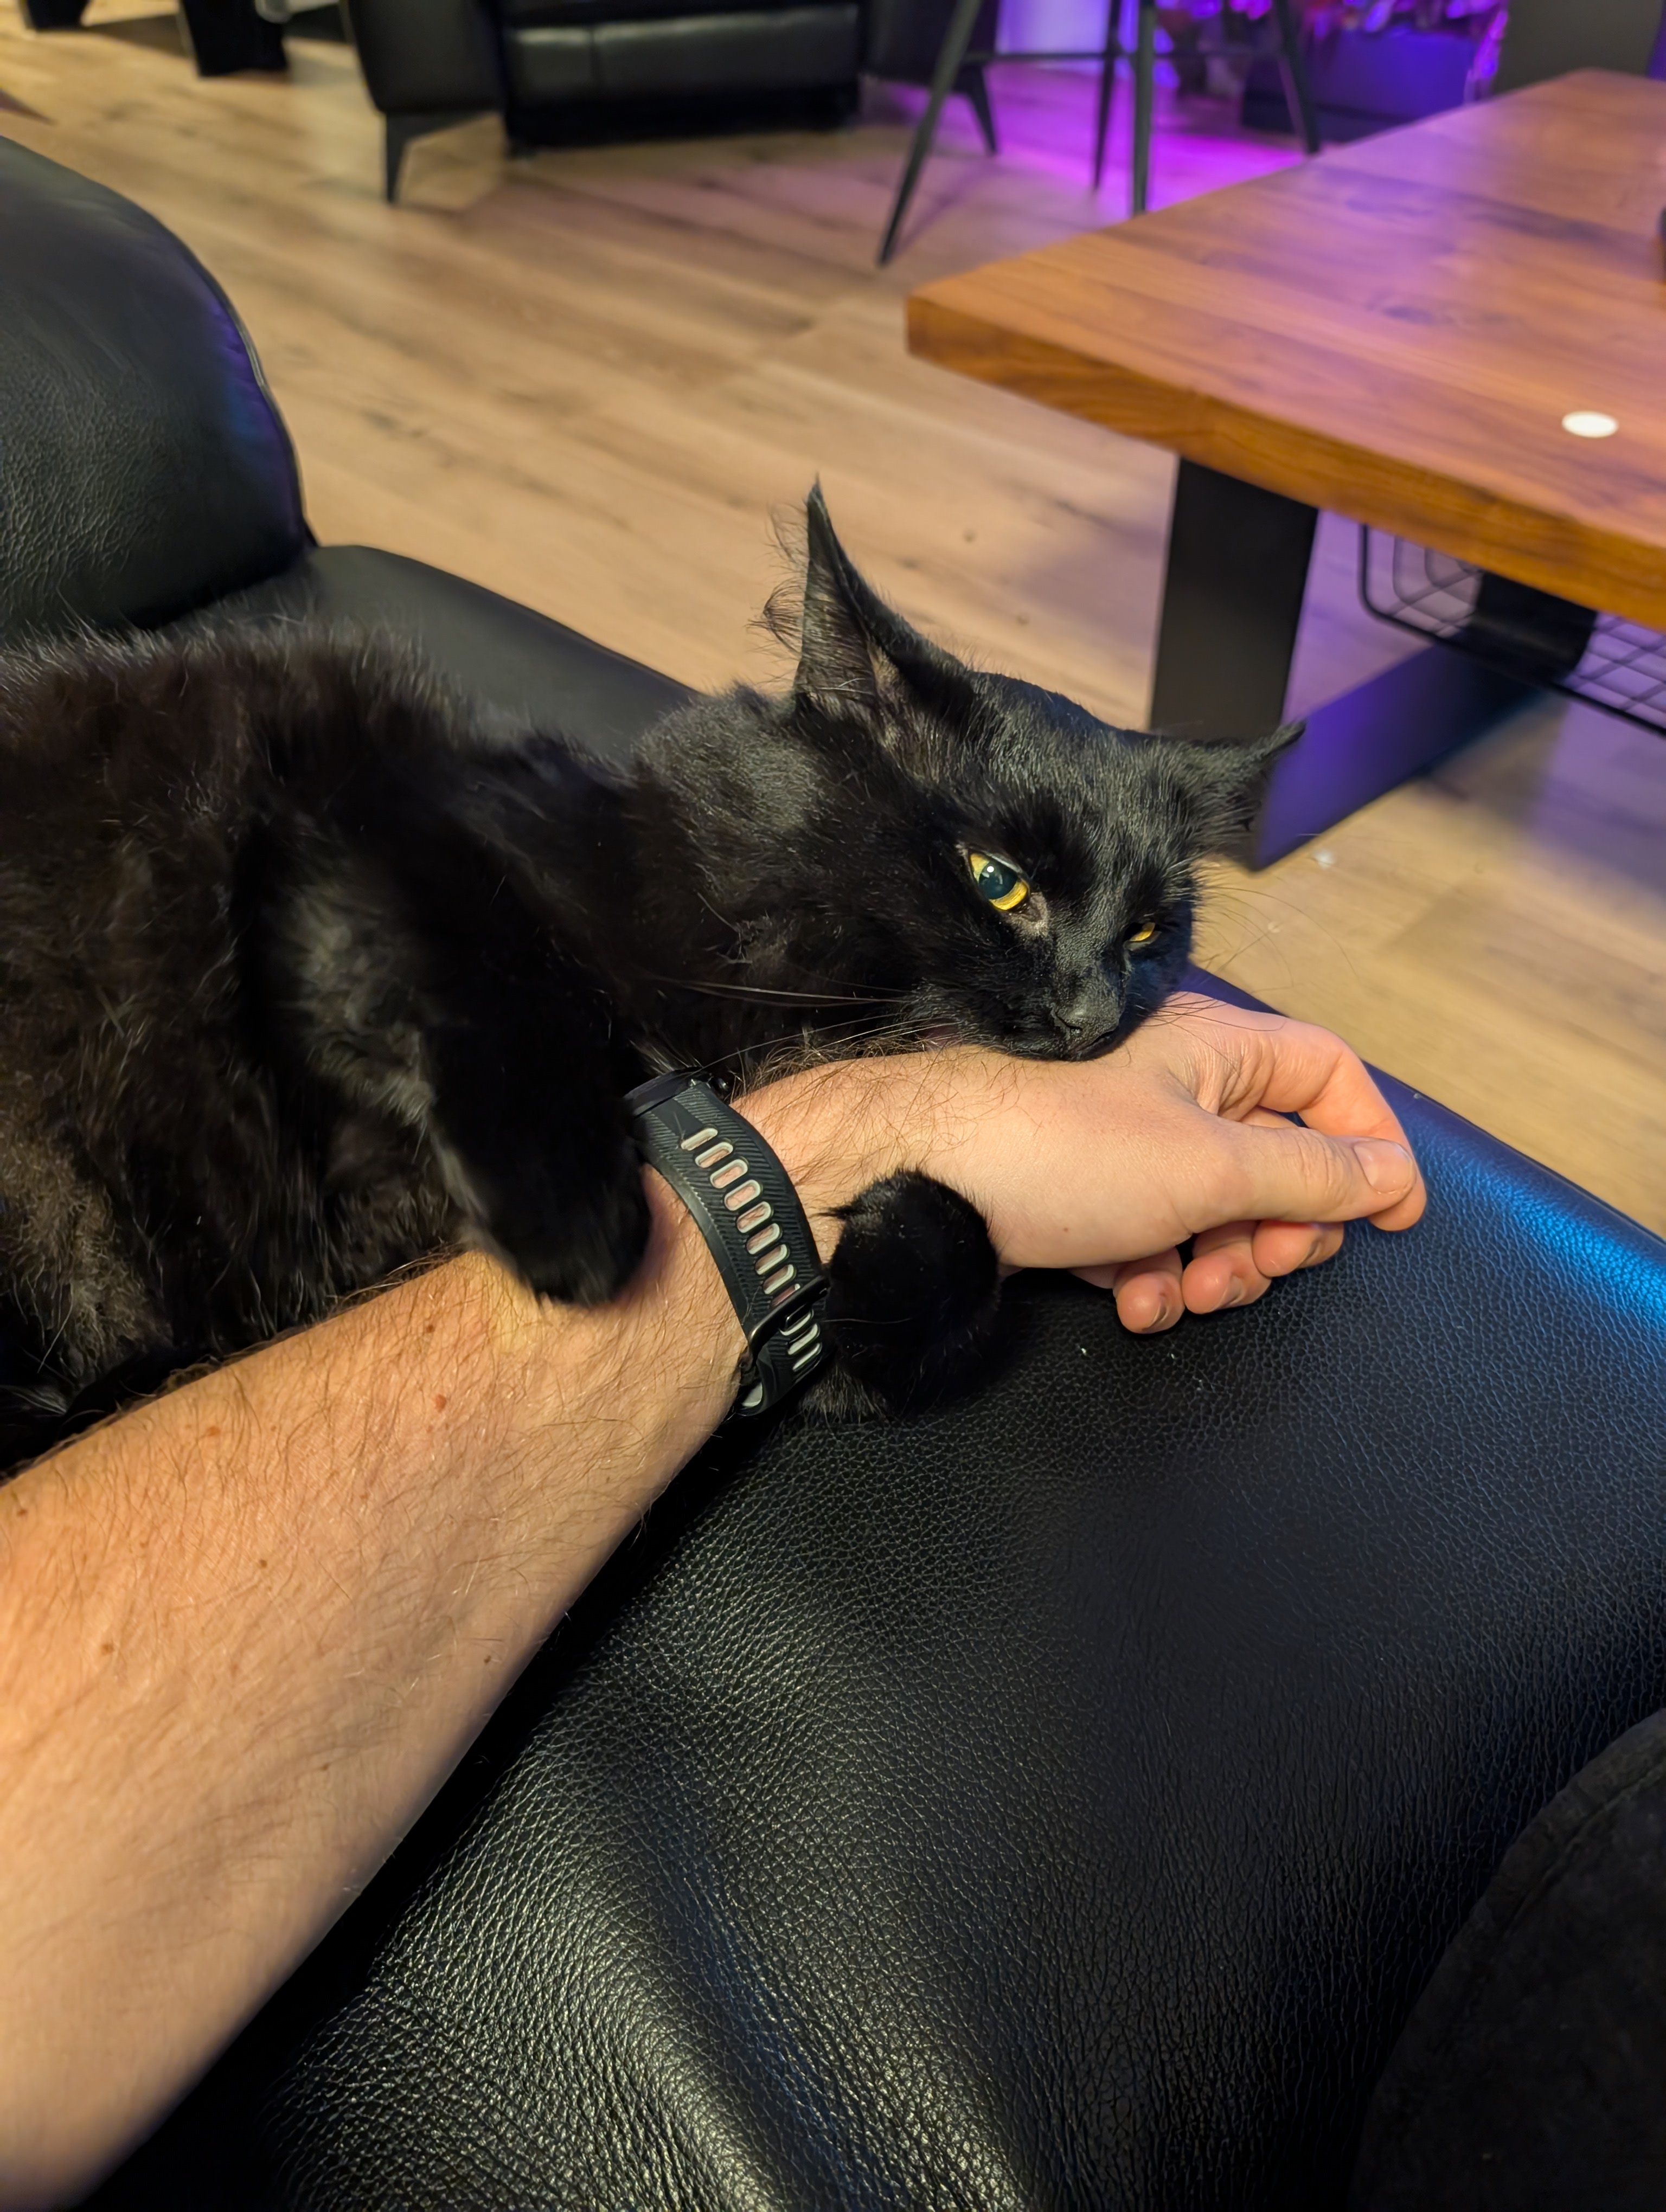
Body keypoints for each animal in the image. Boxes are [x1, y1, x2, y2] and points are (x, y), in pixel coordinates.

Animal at [0, 489, 1293, 1459]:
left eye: (1145, 934)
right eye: (1000, 882)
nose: (1093, 1014)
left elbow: (938, 1278)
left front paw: (872, 1288)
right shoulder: (355, 832)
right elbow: (502, 992)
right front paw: (575, 1234)